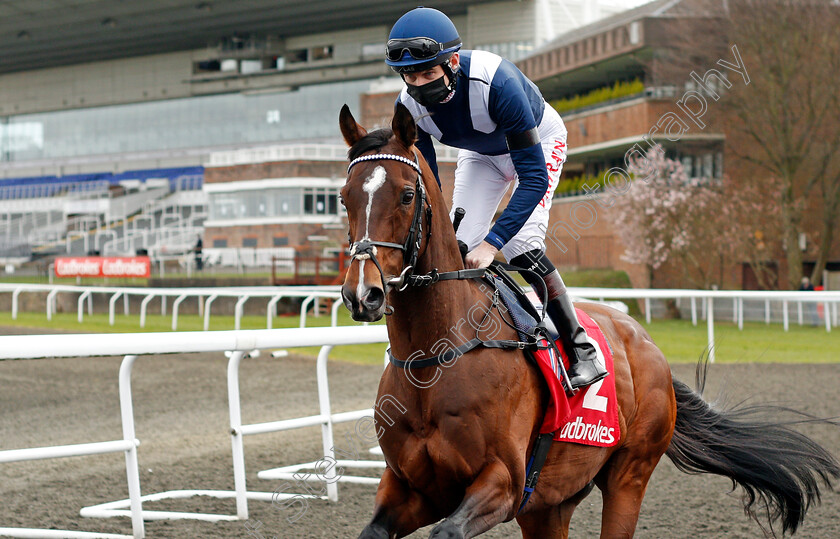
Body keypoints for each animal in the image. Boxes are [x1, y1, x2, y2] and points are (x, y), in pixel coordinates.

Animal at [338, 103, 836, 536]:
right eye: (343, 198)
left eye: (406, 195)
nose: (362, 293)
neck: (435, 357)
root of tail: (647, 344)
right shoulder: (410, 489)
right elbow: (375, 528)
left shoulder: (502, 484)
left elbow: (450, 528)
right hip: (549, 503)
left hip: (628, 476)